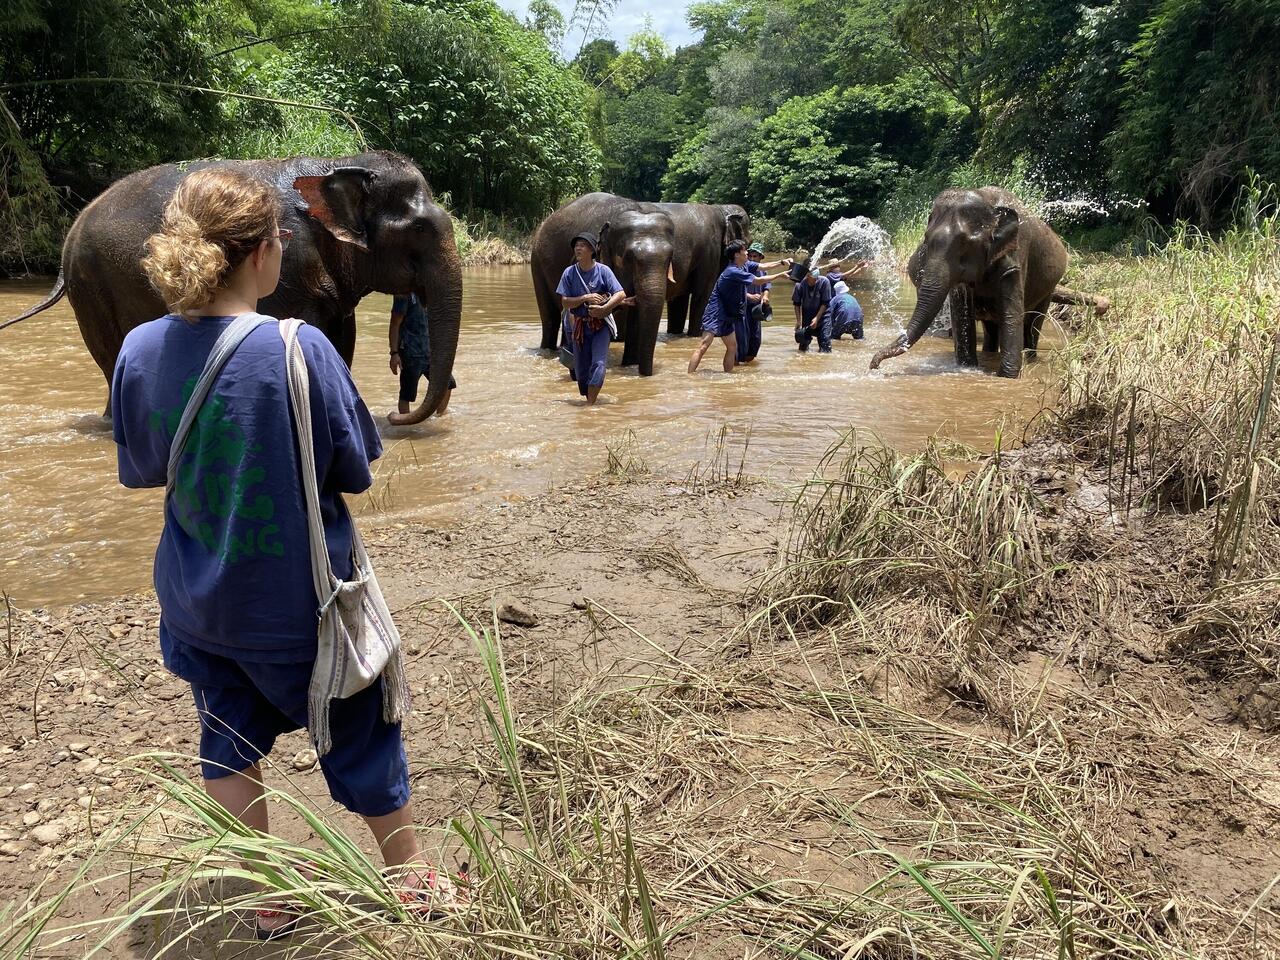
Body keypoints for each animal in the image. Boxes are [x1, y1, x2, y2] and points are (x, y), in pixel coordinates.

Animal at [2, 150, 461, 425]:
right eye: (419, 229)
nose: (395, 419)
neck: (335, 163)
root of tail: (71, 231)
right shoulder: (287, 270)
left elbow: (340, 340)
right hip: (91, 287)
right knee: (110, 357)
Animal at [532, 193, 749, 375]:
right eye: (628, 258)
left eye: (671, 257)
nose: (647, 374)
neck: (720, 210)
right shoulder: (709, 252)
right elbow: (701, 295)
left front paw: (630, 365)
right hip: (537, 262)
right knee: (551, 316)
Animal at [869, 186, 1109, 378]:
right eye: (926, 240)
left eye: (964, 243)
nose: (873, 364)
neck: (988, 202)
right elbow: (962, 316)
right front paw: (969, 367)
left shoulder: (1015, 258)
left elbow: (1012, 317)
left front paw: (1007, 378)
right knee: (993, 328)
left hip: (1048, 287)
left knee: (1032, 325)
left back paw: (1029, 358)